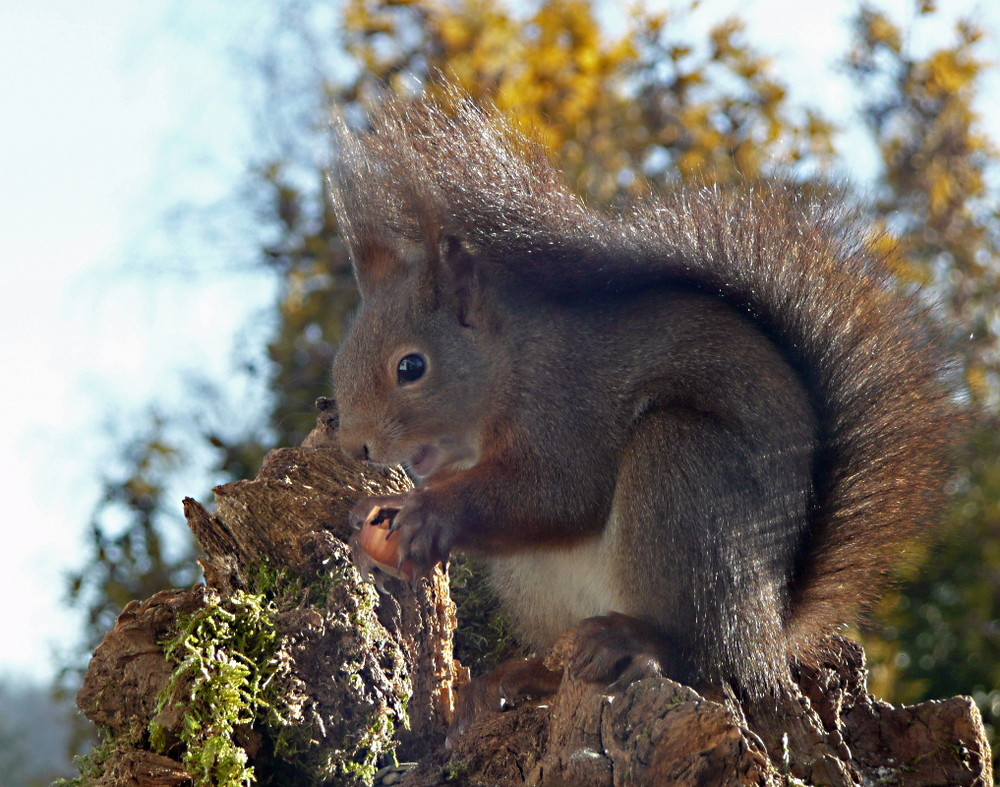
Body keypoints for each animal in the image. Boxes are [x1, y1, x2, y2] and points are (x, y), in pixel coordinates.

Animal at [326, 95, 960, 712]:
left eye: (412, 367)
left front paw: (429, 514)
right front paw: (375, 510)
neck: (510, 364)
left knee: (704, 655)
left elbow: (559, 492)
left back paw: (641, 644)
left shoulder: (567, 403)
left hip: (685, 481)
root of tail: (770, 634)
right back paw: (527, 676)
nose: (356, 445)